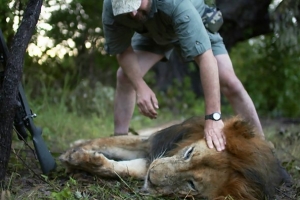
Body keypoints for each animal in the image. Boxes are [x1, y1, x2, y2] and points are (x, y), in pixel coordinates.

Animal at [59, 116, 290, 199]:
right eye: (189, 153)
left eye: (191, 184)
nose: (152, 176)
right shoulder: (153, 143)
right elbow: (109, 141)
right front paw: (73, 152)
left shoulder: (148, 161)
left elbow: (121, 168)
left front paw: (82, 160)